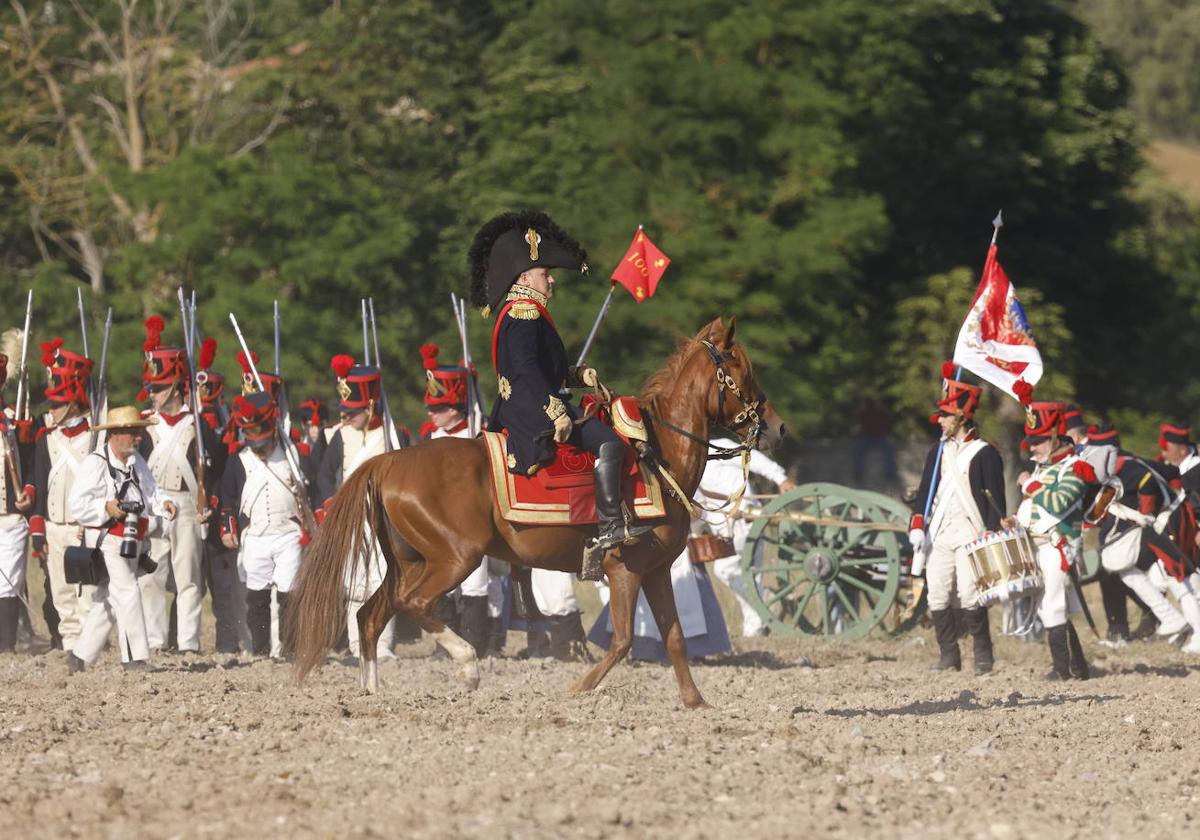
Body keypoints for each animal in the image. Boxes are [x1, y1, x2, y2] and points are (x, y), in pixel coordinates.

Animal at [283, 314, 787, 710]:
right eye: (742, 369)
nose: (777, 427)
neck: (656, 453)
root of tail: (388, 460)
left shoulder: (657, 570)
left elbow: (675, 638)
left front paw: (696, 702)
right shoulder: (624, 569)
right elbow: (623, 640)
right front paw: (578, 690)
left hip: (408, 563)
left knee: (370, 615)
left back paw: (371, 691)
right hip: (454, 559)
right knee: (414, 605)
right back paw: (467, 666)